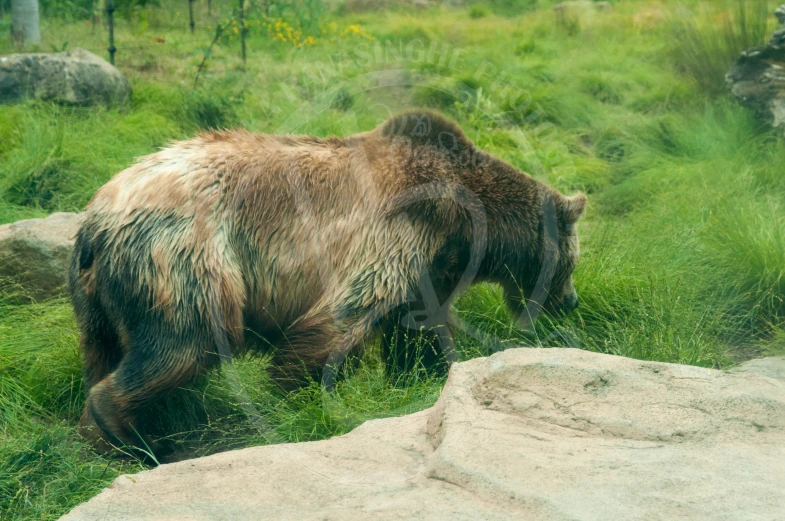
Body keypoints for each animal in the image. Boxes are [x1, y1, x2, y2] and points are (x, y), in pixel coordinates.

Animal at [69, 108, 580, 456]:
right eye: (572, 263)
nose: (572, 302)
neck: (469, 221)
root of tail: (96, 216)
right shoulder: (400, 232)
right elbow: (340, 319)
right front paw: (297, 396)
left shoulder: (430, 266)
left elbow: (418, 330)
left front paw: (424, 378)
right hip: (186, 257)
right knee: (186, 341)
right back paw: (123, 435)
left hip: (98, 295)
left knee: (110, 349)